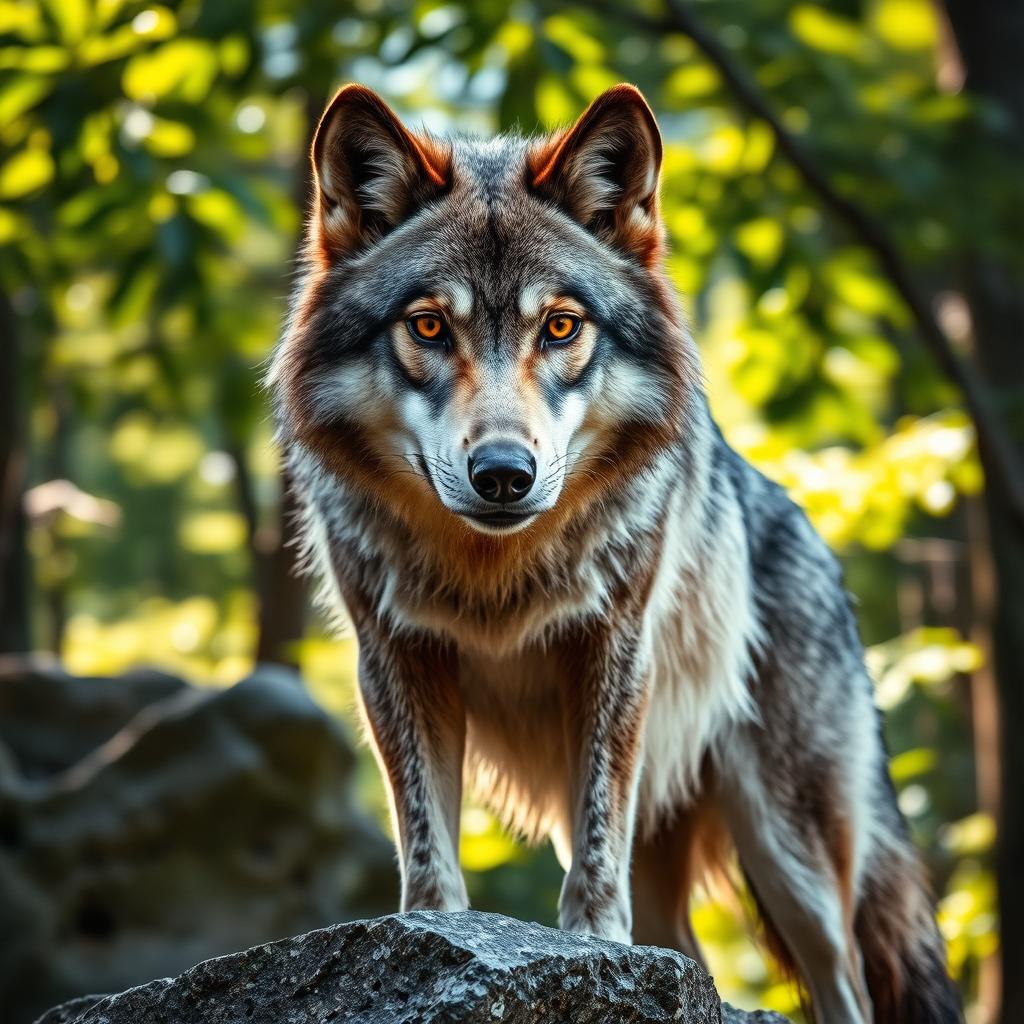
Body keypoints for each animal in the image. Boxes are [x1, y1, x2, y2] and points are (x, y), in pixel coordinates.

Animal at [269, 83, 961, 1023]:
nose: (503, 473)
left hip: (793, 857)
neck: (495, 575)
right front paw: (431, 937)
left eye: (561, 326)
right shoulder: (398, 660)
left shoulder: (614, 653)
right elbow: (427, 843)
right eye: (429, 326)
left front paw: (590, 942)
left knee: (842, 981)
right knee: (685, 953)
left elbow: (598, 847)